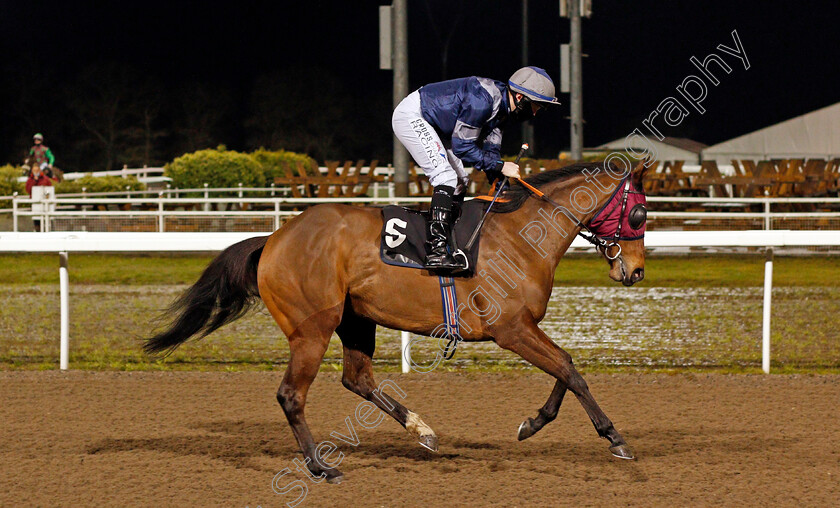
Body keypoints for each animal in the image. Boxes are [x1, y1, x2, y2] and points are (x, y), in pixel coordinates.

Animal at [144, 161, 648, 482]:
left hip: (355, 320)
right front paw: (615, 438)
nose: (636, 271)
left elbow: (566, 365)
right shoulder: (511, 329)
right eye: (640, 213)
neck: (522, 235)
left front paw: (533, 422)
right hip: (312, 329)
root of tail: (274, 237)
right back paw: (321, 467)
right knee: (292, 395)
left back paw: (421, 431)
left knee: (357, 378)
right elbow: (568, 368)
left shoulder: (522, 329)